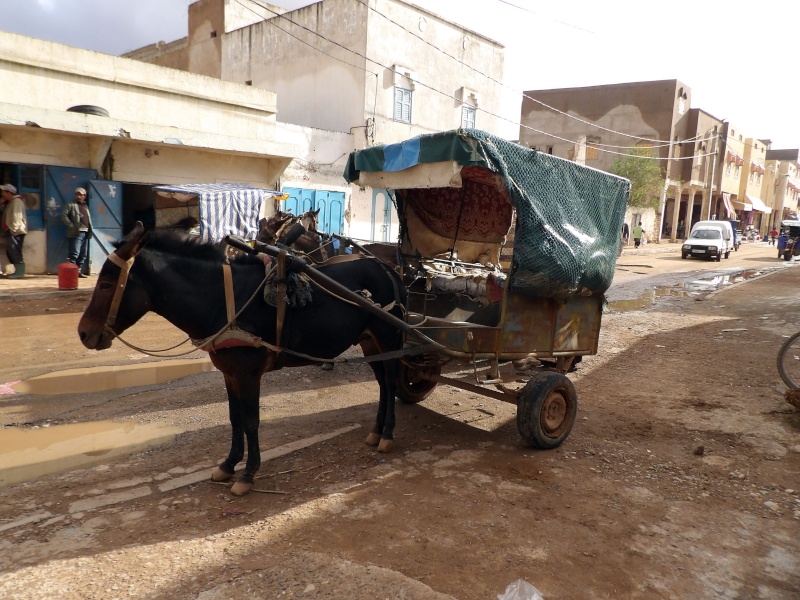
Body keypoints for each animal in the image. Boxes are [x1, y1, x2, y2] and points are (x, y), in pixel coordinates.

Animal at [76, 223, 406, 494]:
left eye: (107, 284)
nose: (83, 332)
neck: (223, 301)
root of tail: (388, 268)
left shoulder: (247, 373)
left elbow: (250, 420)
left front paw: (248, 474)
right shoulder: (229, 372)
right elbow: (234, 419)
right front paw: (228, 464)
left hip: (389, 336)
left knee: (391, 383)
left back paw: (388, 434)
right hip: (370, 342)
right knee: (382, 384)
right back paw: (376, 431)